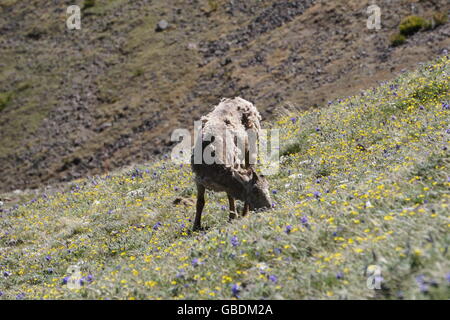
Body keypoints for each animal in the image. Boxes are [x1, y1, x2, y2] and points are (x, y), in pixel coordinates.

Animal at [190, 96, 270, 231]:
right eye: (255, 191)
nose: (269, 207)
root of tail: (243, 100)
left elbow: (230, 197)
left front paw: (232, 217)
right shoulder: (199, 180)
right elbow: (200, 202)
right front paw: (196, 226)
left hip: (252, 149)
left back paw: (244, 214)